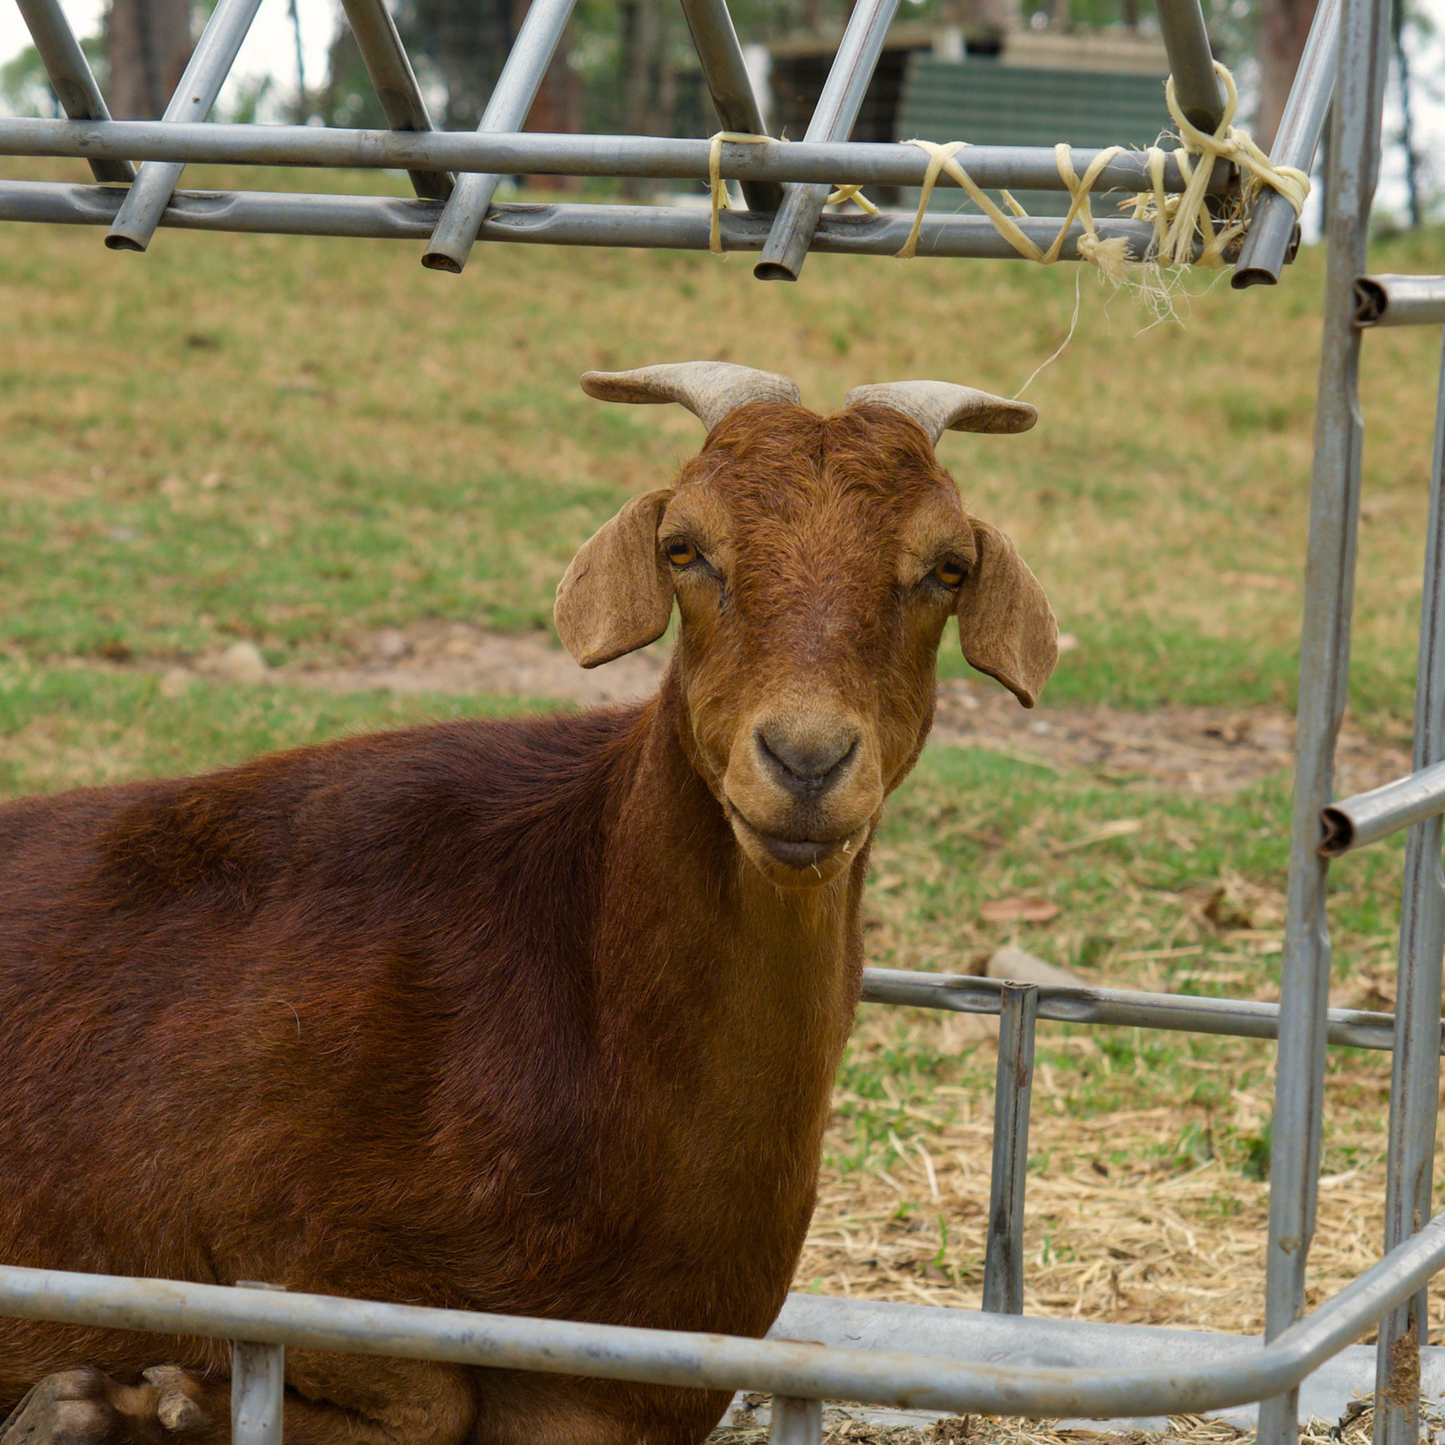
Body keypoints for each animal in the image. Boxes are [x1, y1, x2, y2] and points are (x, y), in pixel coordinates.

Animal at [0, 363, 1057, 1445]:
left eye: (946, 567)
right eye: (684, 548)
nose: (805, 760)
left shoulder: (634, 1386)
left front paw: (107, 1403)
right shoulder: (261, 1232)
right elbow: (415, 1393)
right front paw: (103, 1401)